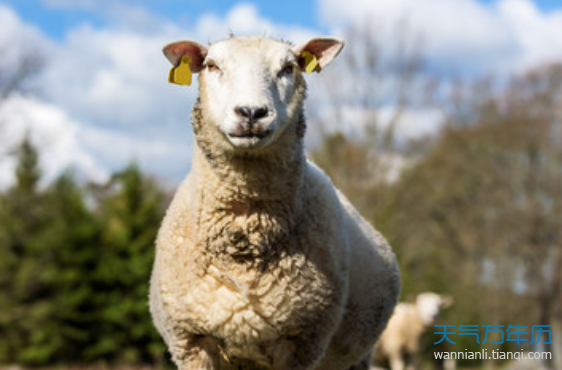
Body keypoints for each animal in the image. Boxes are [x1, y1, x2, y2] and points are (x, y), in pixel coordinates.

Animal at [148, 34, 398, 370]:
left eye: (288, 68)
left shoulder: (302, 342)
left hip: (356, 356)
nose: (251, 112)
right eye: (212, 65)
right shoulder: (191, 341)